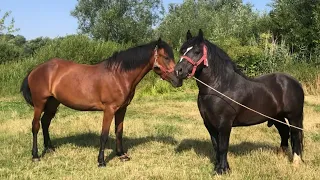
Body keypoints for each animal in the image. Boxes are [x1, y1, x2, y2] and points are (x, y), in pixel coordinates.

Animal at [20, 38, 182, 167]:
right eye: (166, 57)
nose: (178, 79)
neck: (119, 75)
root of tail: (35, 70)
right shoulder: (109, 109)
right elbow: (104, 135)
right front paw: (101, 161)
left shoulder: (122, 109)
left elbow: (119, 131)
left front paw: (121, 155)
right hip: (40, 103)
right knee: (35, 126)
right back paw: (35, 155)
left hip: (53, 103)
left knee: (45, 122)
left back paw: (50, 148)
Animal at [176, 29, 304, 174]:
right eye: (182, 50)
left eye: (197, 51)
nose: (178, 70)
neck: (220, 87)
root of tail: (295, 82)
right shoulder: (209, 124)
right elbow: (216, 146)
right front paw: (218, 167)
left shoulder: (224, 124)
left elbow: (223, 146)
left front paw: (223, 170)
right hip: (277, 117)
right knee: (284, 132)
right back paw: (281, 155)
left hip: (294, 117)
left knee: (296, 135)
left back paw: (296, 163)